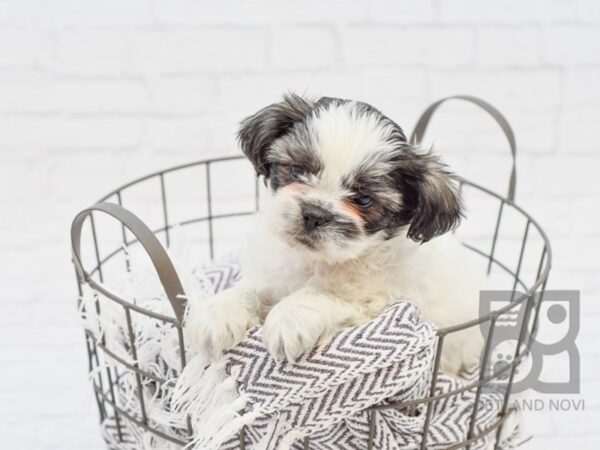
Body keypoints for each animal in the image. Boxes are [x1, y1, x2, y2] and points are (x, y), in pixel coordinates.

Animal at [188, 93, 482, 374]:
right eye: (297, 170)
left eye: (363, 200)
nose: (314, 213)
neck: (315, 260)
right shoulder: (270, 276)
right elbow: (249, 289)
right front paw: (219, 311)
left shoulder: (381, 300)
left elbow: (322, 295)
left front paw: (288, 317)